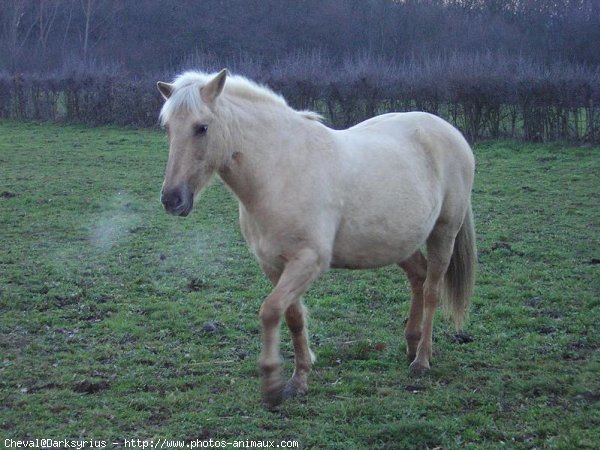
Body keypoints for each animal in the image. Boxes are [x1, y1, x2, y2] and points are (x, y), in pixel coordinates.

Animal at [157, 69, 476, 408]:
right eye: (168, 128)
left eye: (202, 127)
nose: (172, 199)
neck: (279, 172)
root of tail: (450, 131)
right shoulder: (273, 264)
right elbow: (293, 316)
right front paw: (299, 379)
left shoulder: (307, 261)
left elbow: (271, 311)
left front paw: (273, 382)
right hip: (398, 242)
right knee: (418, 277)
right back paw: (411, 345)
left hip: (444, 232)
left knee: (431, 291)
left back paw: (422, 360)